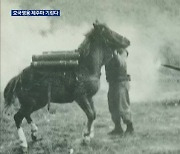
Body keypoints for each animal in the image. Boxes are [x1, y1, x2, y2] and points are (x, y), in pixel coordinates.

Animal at [3, 20, 130, 152]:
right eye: (109, 32)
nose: (127, 41)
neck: (85, 67)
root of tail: (18, 77)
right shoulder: (81, 97)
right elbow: (90, 114)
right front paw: (86, 137)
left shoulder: (89, 97)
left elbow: (93, 114)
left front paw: (89, 135)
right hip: (30, 103)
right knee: (18, 117)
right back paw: (23, 144)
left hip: (37, 102)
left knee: (26, 115)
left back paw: (34, 133)